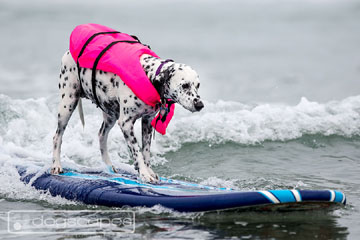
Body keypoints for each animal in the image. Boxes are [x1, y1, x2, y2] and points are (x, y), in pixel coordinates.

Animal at [51, 51, 204, 182]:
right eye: (185, 85)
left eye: (198, 85)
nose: (200, 104)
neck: (148, 75)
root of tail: (68, 52)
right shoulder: (126, 123)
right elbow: (137, 151)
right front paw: (144, 174)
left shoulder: (147, 122)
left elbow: (146, 152)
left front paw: (149, 171)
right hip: (67, 105)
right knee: (57, 136)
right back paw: (56, 165)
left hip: (110, 116)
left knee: (101, 136)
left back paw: (108, 167)